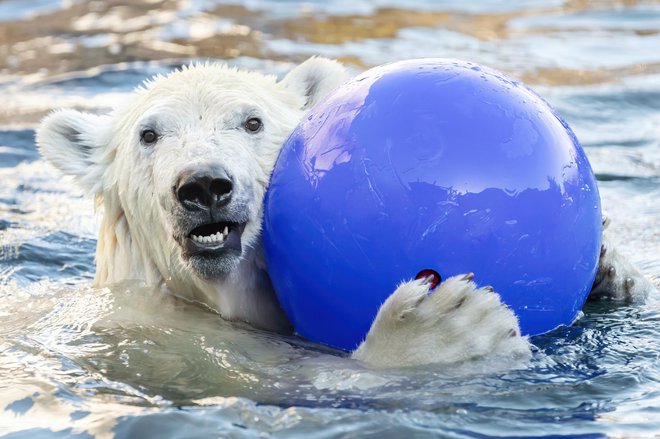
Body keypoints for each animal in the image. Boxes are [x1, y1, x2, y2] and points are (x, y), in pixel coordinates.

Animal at [36, 56, 656, 370]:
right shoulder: (171, 339)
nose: (204, 185)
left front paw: (610, 267)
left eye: (252, 121)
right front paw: (440, 329)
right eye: (148, 134)